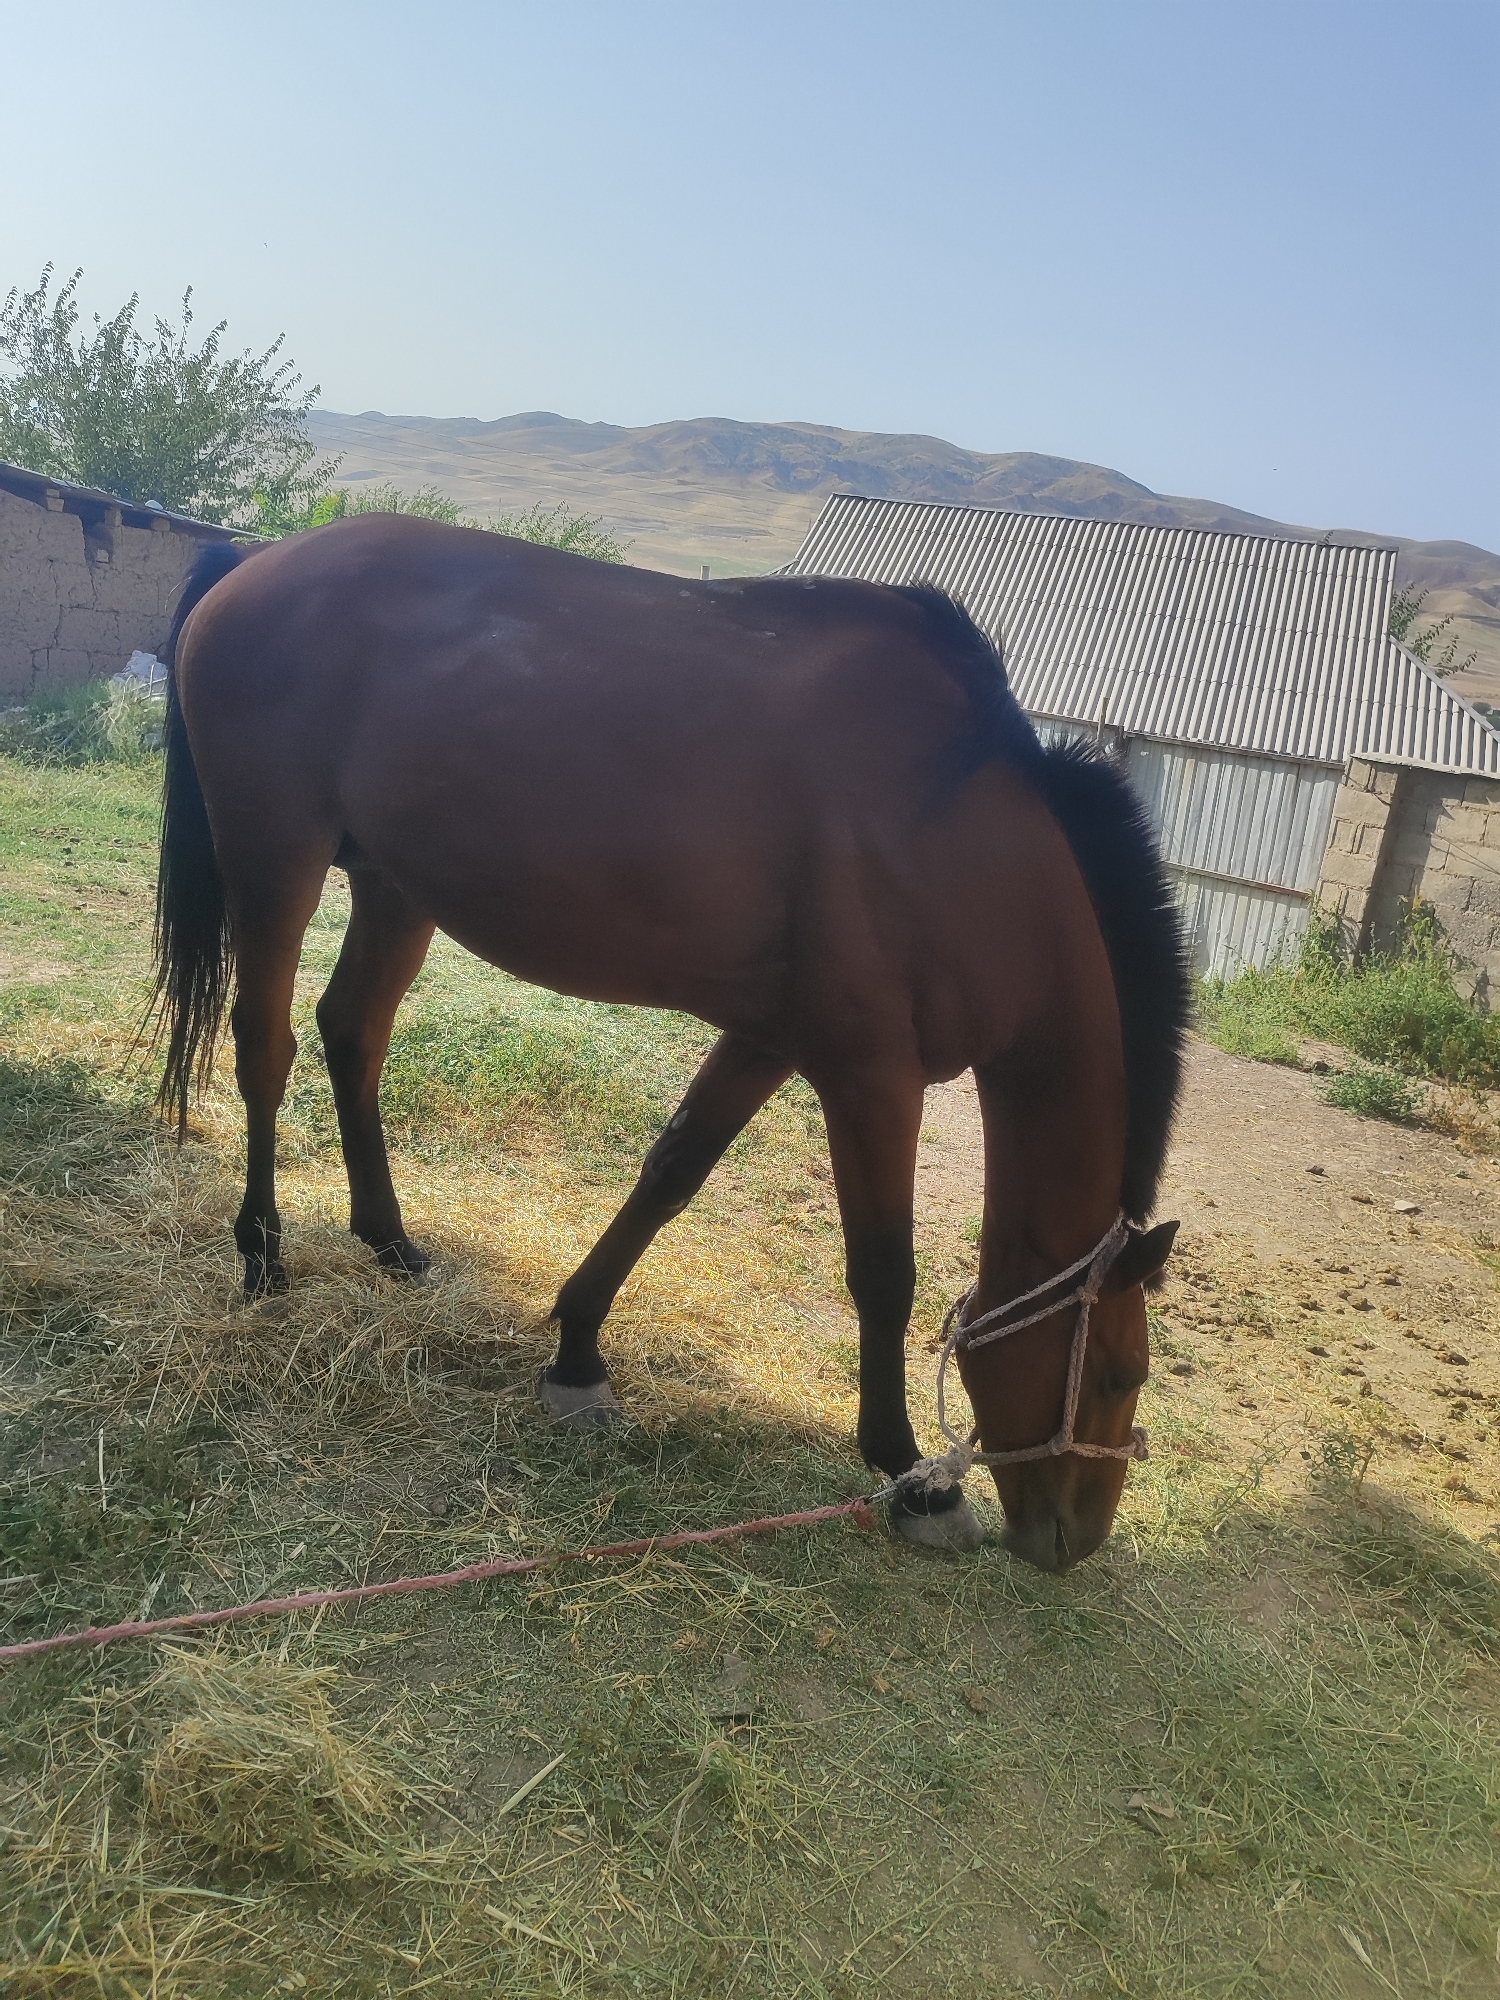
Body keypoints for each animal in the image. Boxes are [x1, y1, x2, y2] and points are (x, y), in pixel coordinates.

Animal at [151, 518, 1188, 1570]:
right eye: (1117, 1375)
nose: (1075, 1540)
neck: (958, 836)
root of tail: (254, 560)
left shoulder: (768, 1039)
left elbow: (670, 1174)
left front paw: (576, 1353)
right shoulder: (869, 1075)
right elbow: (882, 1273)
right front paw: (913, 1476)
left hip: (395, 886)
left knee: (353, 1033)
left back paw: (391, 1241)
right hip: (275, 857)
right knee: (264, 1048)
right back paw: (262, 1256)